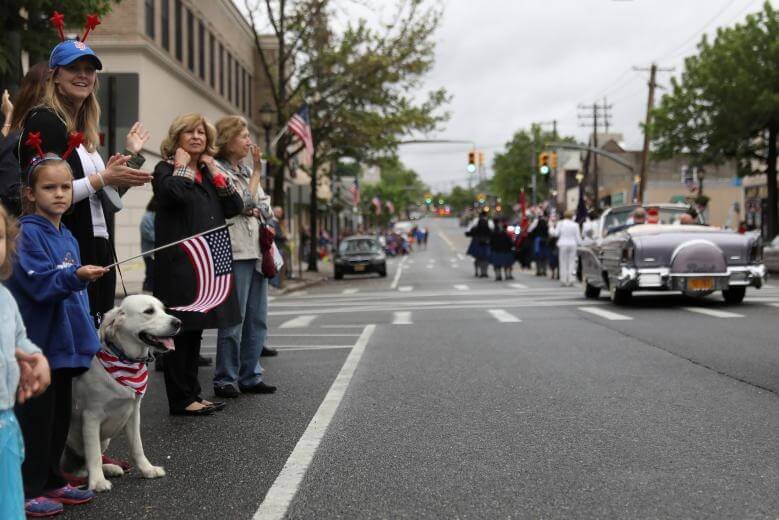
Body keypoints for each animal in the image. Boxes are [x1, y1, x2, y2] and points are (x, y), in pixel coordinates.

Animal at [62, 296, 181, 492]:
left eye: (163, 310)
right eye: (149, 311)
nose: (178, 322)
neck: (125, 360)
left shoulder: (133, 413)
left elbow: (137, 447)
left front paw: (147, 469)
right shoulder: (91, 416)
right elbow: (93, 453)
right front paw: (98, 482)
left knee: (81, 468)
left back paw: (109, 468)